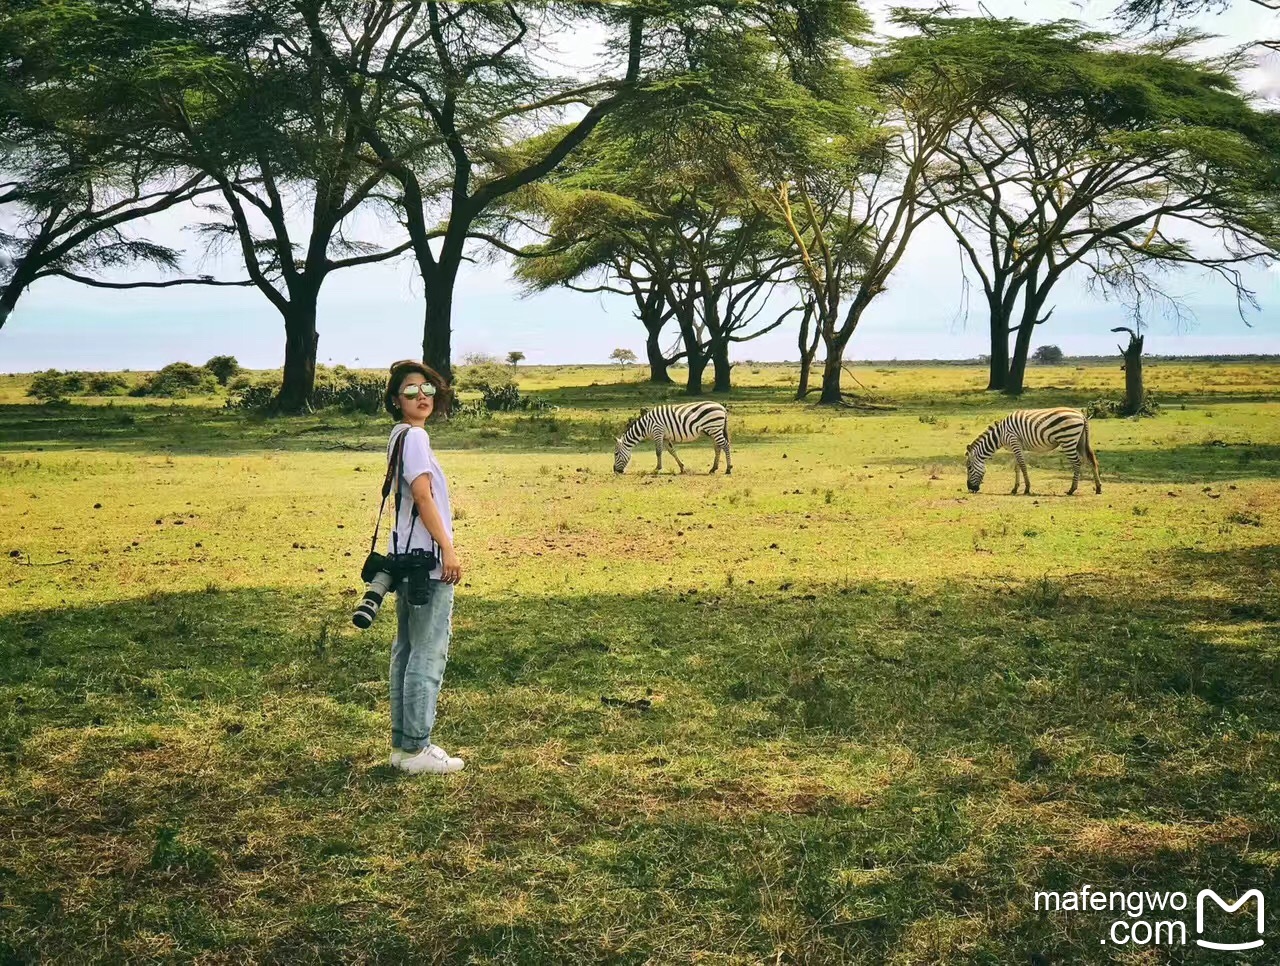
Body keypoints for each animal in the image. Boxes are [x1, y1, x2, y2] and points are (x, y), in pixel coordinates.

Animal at [967, 406, 1100, 498]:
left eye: (969, 467)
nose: (970, 488)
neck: (1000, 435)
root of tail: (1082, 415)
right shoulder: (1017, 445)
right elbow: (1017, 467)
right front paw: (1015, 489)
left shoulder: (1014, 440)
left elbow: (1022, 465)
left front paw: (1026, 488)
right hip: (1080, 442)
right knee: (1091, 460)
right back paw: (1098, 488)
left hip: (1068, 440)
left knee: (1077, 463)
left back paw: (1072, 489)